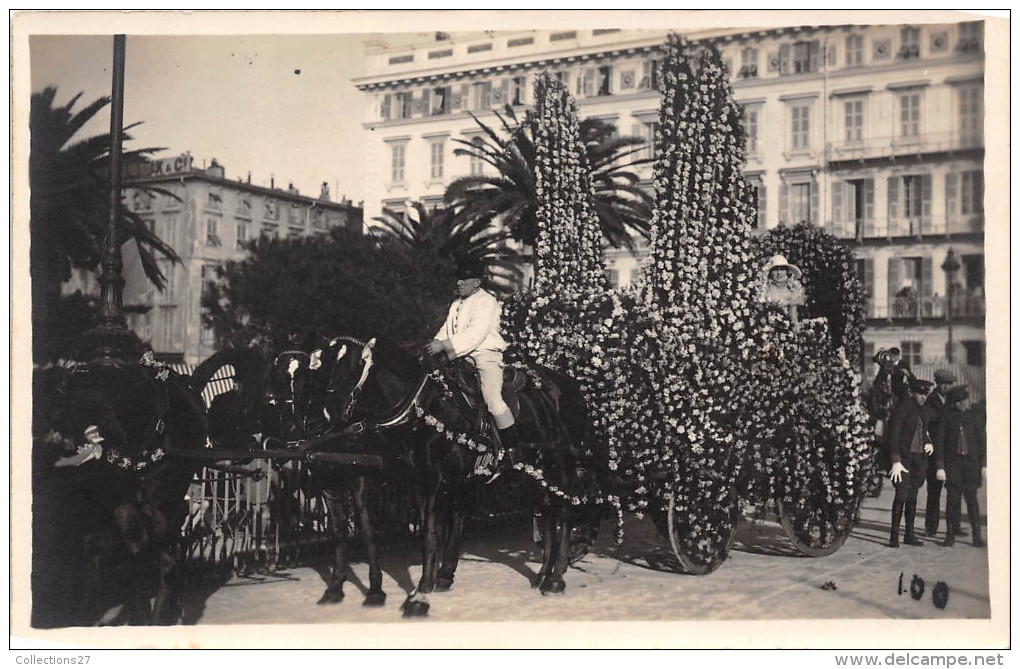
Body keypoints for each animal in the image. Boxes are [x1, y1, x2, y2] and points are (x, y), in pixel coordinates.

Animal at [301, 334, 603, 615]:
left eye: (353, 367)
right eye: (325, 366)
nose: (326, 414)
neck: (425, 405)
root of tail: (571, 389)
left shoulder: (435, 479)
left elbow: (430, 535)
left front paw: (421, 594)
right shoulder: (419, 480)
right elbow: (431, 531)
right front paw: (432, 582)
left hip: (561, 465)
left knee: (564, 513)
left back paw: (556, 579)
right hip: (535, 472)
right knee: (547, 512)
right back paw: (542, 574)